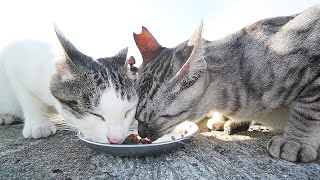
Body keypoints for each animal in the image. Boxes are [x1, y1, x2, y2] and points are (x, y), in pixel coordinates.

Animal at [0, 25, 138, 143]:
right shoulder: (15, 62)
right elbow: (30, 101)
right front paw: (39, 124)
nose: (116, 139)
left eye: (128, 111)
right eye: (95, 115)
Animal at [134, 4, 320, 162]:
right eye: (135, 116)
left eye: (156, 119)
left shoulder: (313, 79)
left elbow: (306, 113)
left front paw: (296, 141)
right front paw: (220, 119)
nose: (140, 133)